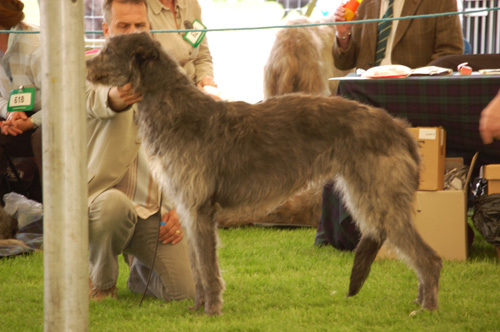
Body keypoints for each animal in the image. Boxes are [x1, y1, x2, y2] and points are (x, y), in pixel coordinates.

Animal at [86, 32, 442, 316]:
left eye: (107, 50)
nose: (85, 66)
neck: (175, 108)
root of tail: (399, 128)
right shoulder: (187, 209)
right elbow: (198, 267)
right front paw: (197, 307)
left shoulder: (200, 209)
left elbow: (208, 269)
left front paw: (211, 311)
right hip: (366, 196)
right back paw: (419, 301)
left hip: (379, 199)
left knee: (430, 258)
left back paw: (427, 308)